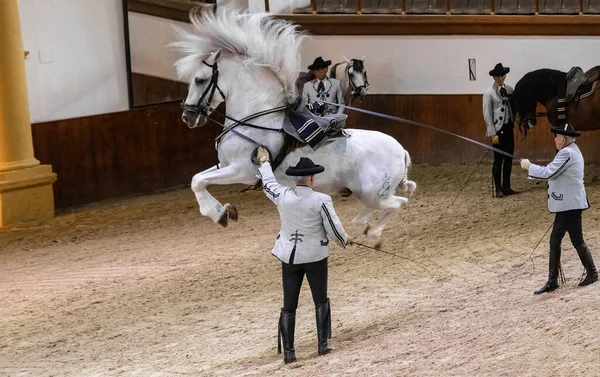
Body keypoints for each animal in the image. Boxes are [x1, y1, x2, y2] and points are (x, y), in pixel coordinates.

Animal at [175, 7, 418, 242]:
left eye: (200, 80)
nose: (188, 116)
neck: (254, 121)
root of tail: (401, 150)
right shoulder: (223, 165)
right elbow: (197, 179)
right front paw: (224, 210)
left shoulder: (240, 170)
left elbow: (198, 182)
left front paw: (220, 215)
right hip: (371, 194)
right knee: (392, 201)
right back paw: (365, 225)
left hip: (372, 193)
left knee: (399, 203)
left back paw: (374, 233)